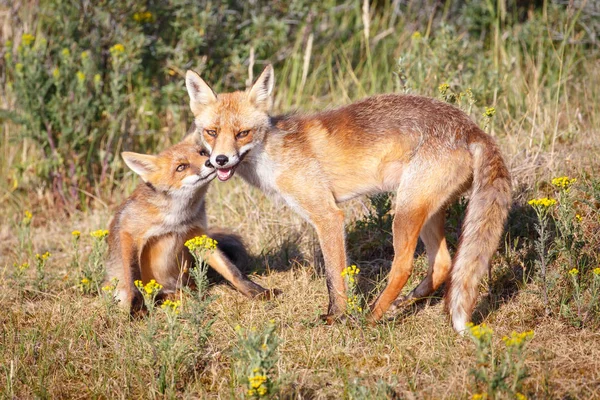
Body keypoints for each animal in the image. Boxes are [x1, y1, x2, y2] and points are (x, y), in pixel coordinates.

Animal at [104, 140, 274, 310]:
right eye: (181, 167)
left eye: (202, 153)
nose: (210, 162)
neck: (177, 220)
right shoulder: (129, 232)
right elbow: (133, 276)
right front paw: (137, 308)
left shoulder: (198, 235)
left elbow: (233, 272)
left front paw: (255, 291)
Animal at [184, 64, 510, 330]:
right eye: (212, 132)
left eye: (243, 133)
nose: (220, 160)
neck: (273, 154)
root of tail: (472, 128)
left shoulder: (327, 215)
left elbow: (334, 276)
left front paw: (336, 316)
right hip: (424, 209)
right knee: (443, 262)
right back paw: (403, 303)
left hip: (404, 212)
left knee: (403, 266)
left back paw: (372, 317)